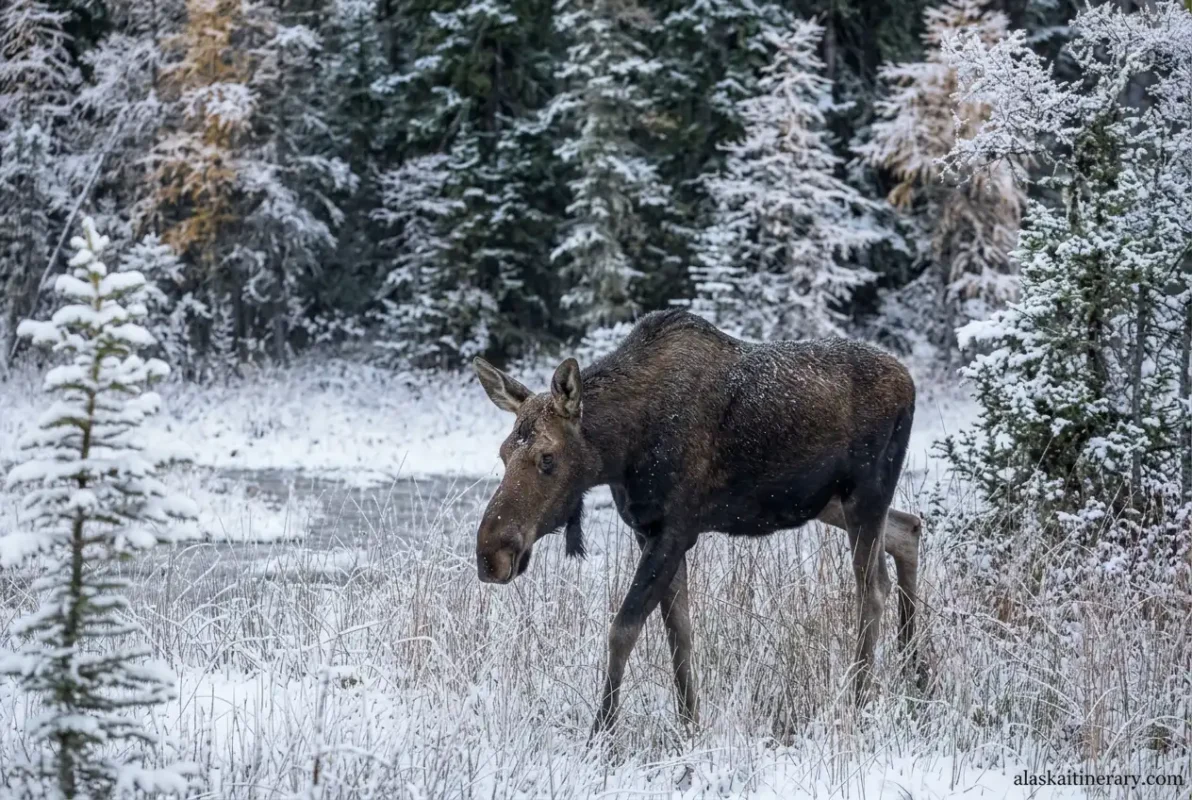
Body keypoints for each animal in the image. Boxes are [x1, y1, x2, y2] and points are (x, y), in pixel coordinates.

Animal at [471, 309, 923, 734]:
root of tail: (910, 382)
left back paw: (861, 700)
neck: (620, 452)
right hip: (831, 501)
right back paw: (914, 676)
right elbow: (680, 634)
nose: (490, 554)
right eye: (503, 453)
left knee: (872, 588)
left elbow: (623, 630)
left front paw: (603, 734)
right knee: (908, 529)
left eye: (547, 458)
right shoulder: (647, 531)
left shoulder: (675, 530)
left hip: (866, 491)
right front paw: (690, 725)